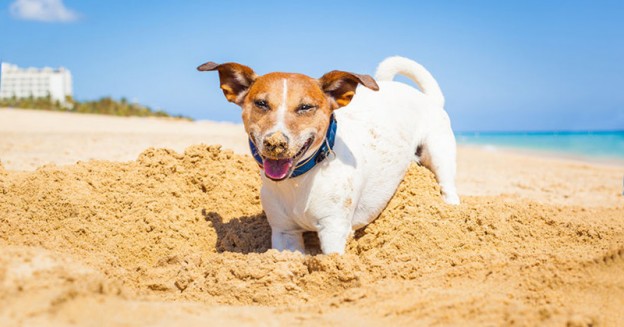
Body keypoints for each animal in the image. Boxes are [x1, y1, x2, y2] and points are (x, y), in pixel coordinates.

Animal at [199, 56, 458, 255]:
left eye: (305, 107)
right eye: (261, 103)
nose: (275, 143)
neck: (300, 181)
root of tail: (429, 98)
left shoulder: (334, 230)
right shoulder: (284, 232)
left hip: (440, 156)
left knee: (448, 188)